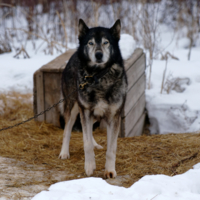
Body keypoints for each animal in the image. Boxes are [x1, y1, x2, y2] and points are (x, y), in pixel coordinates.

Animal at [59, 18, 126, 178]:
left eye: (106, 42)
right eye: (90, 43)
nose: (99, 55)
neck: (98, 76)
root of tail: (73, 54)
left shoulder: (114, 117)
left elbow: (111, 149)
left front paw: (109, 170)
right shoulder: (86, 111)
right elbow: (86, 143)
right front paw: (89, 166)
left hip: (94, 114)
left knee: (89, 129)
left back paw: (96, 144)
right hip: (74, 108)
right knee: (67, 130)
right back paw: (64, 152)